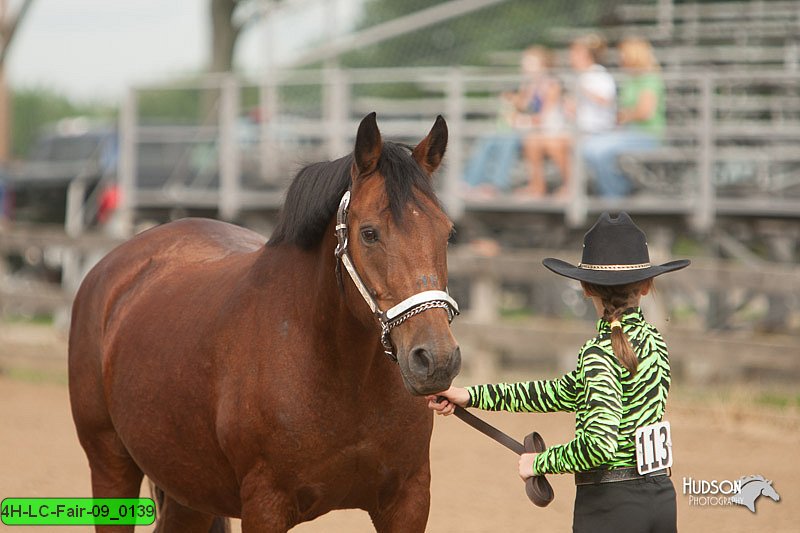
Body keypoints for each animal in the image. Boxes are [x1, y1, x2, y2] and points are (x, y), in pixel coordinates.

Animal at [69, 113, 462, 532]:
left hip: (189, 490)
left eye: (447, 232)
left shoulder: (408, 500)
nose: (436, 360)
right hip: (110, 467)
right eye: (369, 233)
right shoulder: (265, 505)